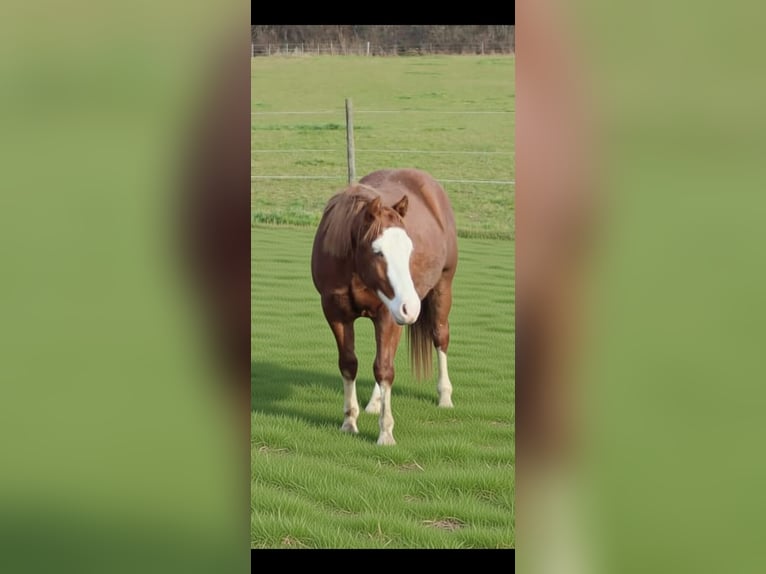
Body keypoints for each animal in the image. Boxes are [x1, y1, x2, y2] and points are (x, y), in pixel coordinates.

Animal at [311, 168, 458, 445]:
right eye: (377, 251)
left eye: (410, 248)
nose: (411, 307)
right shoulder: (336, 314)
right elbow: (349, 364)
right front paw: (349, 421)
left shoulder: (387, 316)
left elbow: (384, 369)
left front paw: (386, 432)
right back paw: (374, 403)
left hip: (442, 287)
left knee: (440, 337)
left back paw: (444, 395)